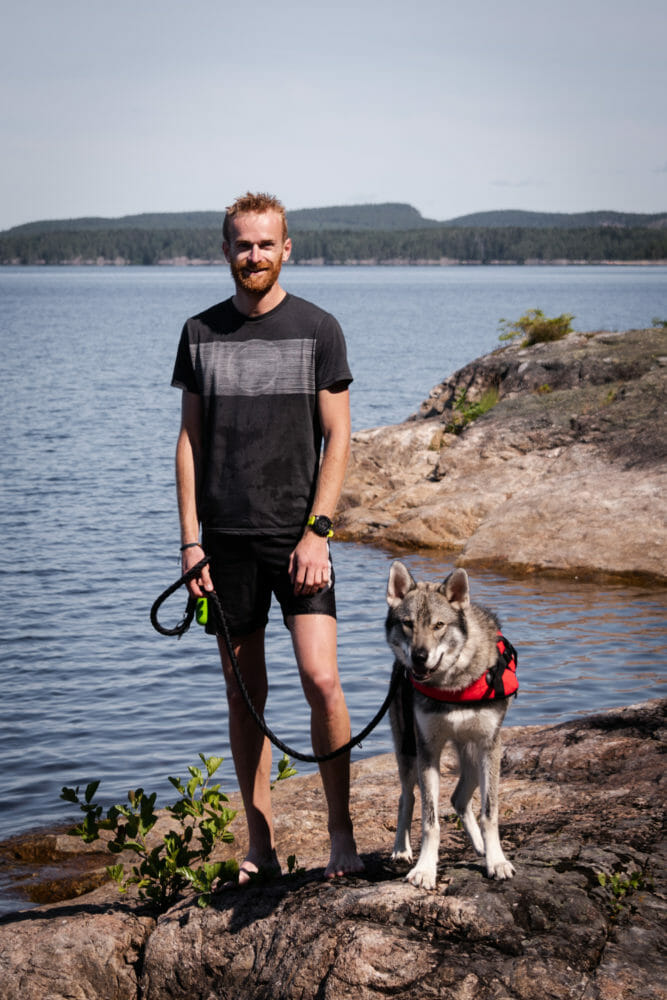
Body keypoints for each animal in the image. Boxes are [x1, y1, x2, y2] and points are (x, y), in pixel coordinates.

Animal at [384, 560, 520, 888]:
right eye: (408, 623)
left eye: (438, 625)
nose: (419, 657)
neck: (453, 684)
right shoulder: (427, 750)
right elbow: (429, 821)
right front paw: (424, 868)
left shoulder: (489, 747)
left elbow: (489, 813)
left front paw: (496, 861)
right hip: (409, 752)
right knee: (406, 797)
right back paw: (401, 849)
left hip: (472, 757)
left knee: (459, 799)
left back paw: (481, 846)